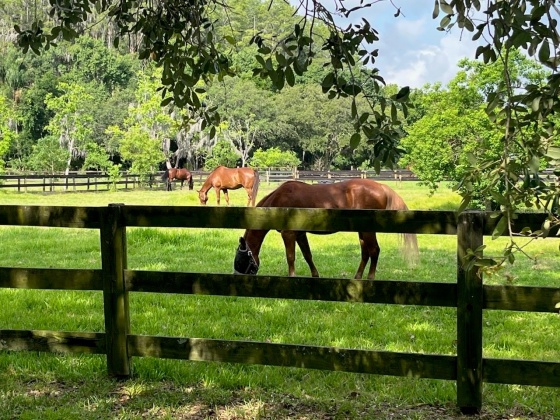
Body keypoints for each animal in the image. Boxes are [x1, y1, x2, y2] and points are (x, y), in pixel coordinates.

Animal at [234, 179, 418, 280]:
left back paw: (370, 278)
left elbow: (291, 257)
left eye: (240, 261)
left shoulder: (289, 234)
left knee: (374, 250)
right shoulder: (300, 234)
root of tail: (381, 186)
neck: (278, 200)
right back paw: (358, 277)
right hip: (362, 232)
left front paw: (292, 276)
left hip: (367, 231)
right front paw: (315, 276)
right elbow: (307, 255)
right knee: (366, 252)